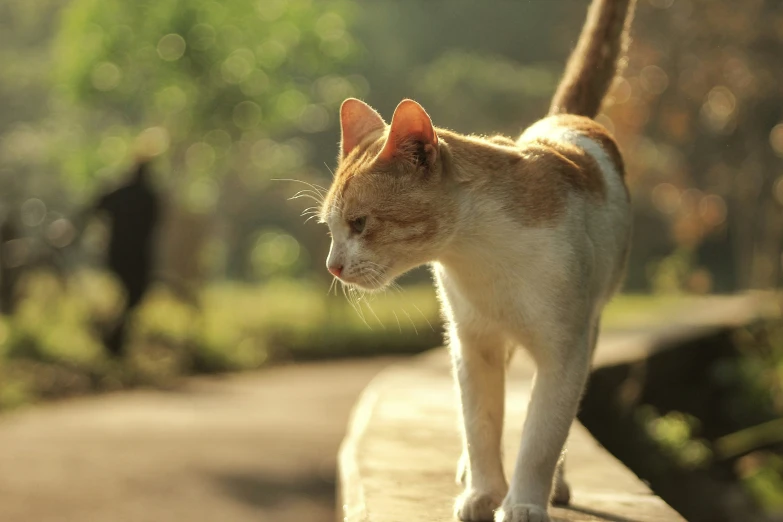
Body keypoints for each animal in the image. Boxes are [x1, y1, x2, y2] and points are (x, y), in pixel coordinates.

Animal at [318, 2, 636, 516]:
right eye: (330, 229)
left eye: (360, 224)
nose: (333, 265)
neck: (481, 255)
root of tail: (565, 118)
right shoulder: (471, 344)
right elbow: (480, 424)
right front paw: (483, 493)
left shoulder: (564, 351)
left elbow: (542, 435)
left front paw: (524, 503)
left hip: (589, 329)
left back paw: (557, 485)